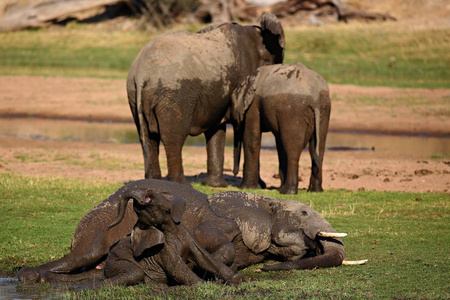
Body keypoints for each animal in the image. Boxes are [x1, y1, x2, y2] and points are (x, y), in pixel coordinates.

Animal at [127, 14, 284, 189]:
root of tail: (142, 74)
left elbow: (215, 130)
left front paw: (215, 186)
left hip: (135, 94)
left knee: (148, 139)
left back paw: (153, 181)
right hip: (173, 94)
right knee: (173, 138)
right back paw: (181, 184)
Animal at [230, 63, 332, 195]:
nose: (234, 173)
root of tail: (315, 96)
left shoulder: (254, 103)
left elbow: (252, 140)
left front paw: (247, 188)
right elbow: (280, 144)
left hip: (293, 110)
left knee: (292, 150)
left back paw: (288, 191)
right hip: (324, 110)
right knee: (317, 149)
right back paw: (315, 191)